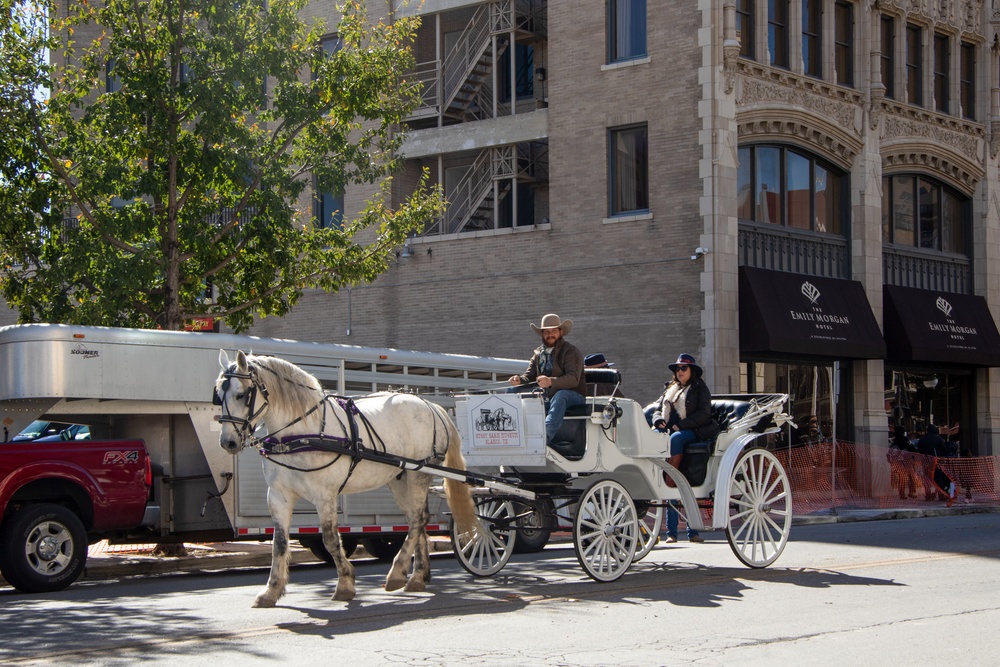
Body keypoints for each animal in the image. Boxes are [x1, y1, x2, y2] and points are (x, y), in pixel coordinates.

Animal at [214, 350, 476, 604]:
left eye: (241, 395)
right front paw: (271, 591)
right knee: (417, 519)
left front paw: (345, 584)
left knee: (419, 520)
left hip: (418, 475)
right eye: (218, 396)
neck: (299, 433)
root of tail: (431, 406)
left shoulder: (325, 495)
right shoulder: (279, 495)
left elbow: (330, 539)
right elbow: (279, 543)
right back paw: (417, 576)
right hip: (400, 479)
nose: (228, 442)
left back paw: (397, 572)